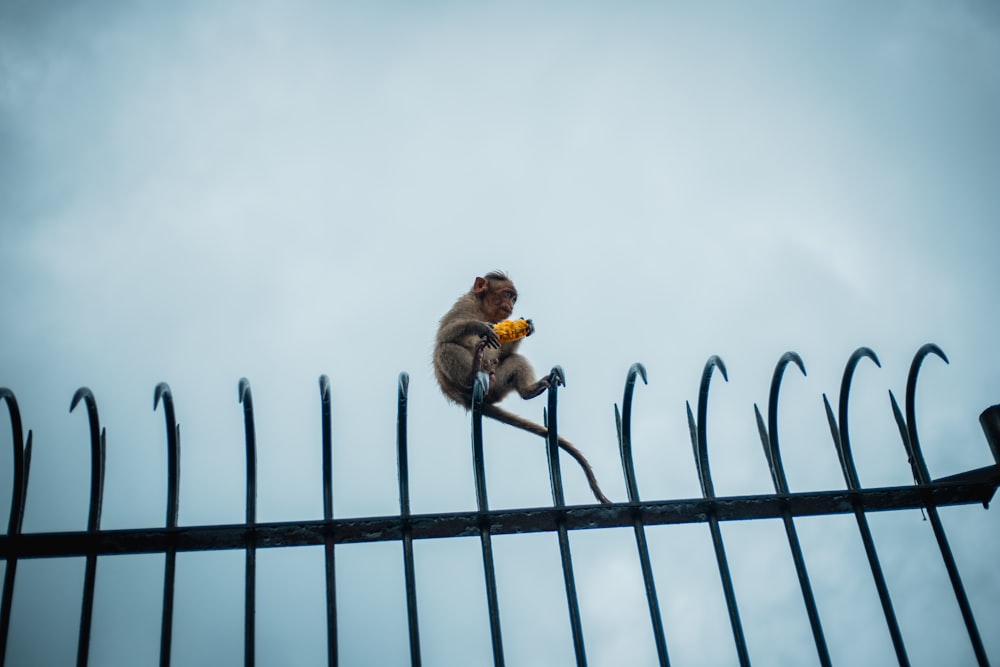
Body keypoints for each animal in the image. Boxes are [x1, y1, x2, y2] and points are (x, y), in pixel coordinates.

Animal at [434, 272, 612, 506]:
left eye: (514, 298)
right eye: (507, 294)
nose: (511, 305)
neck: (483, 309)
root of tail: (460, 395)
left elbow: (505, 351)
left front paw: (527, 327)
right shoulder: (464, 305)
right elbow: (446, 334)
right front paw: (480, 327)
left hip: (497, 386)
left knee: (514, 361)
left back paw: (530, 390)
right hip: (462, 380)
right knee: (445, 348)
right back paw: (475, 370)